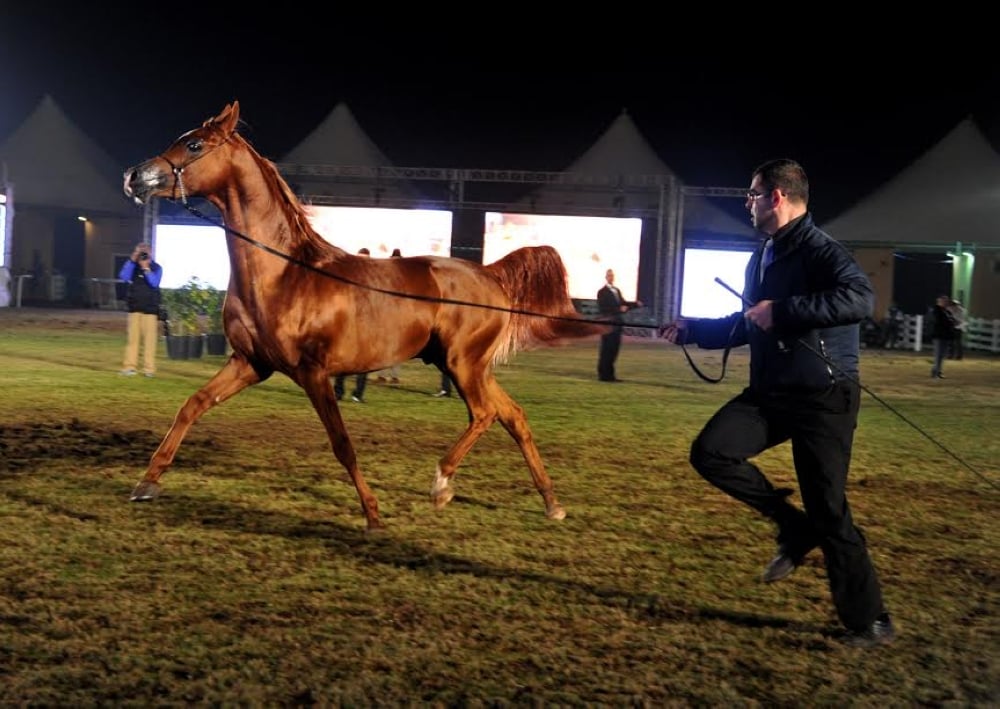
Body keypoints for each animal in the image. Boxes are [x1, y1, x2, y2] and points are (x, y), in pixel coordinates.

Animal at [121, 101, 604, 532]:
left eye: (195, 144)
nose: (134, 176)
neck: (283, 273)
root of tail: (490, 274)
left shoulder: (313, 372)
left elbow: (342, 444)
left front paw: (373, 515)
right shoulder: (250, 363)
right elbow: (192, 406)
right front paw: (147, 483)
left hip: (463, 364)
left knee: (484, 414)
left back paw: (442, 484)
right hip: (470, 366)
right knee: (514, 416)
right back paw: (552, 503)